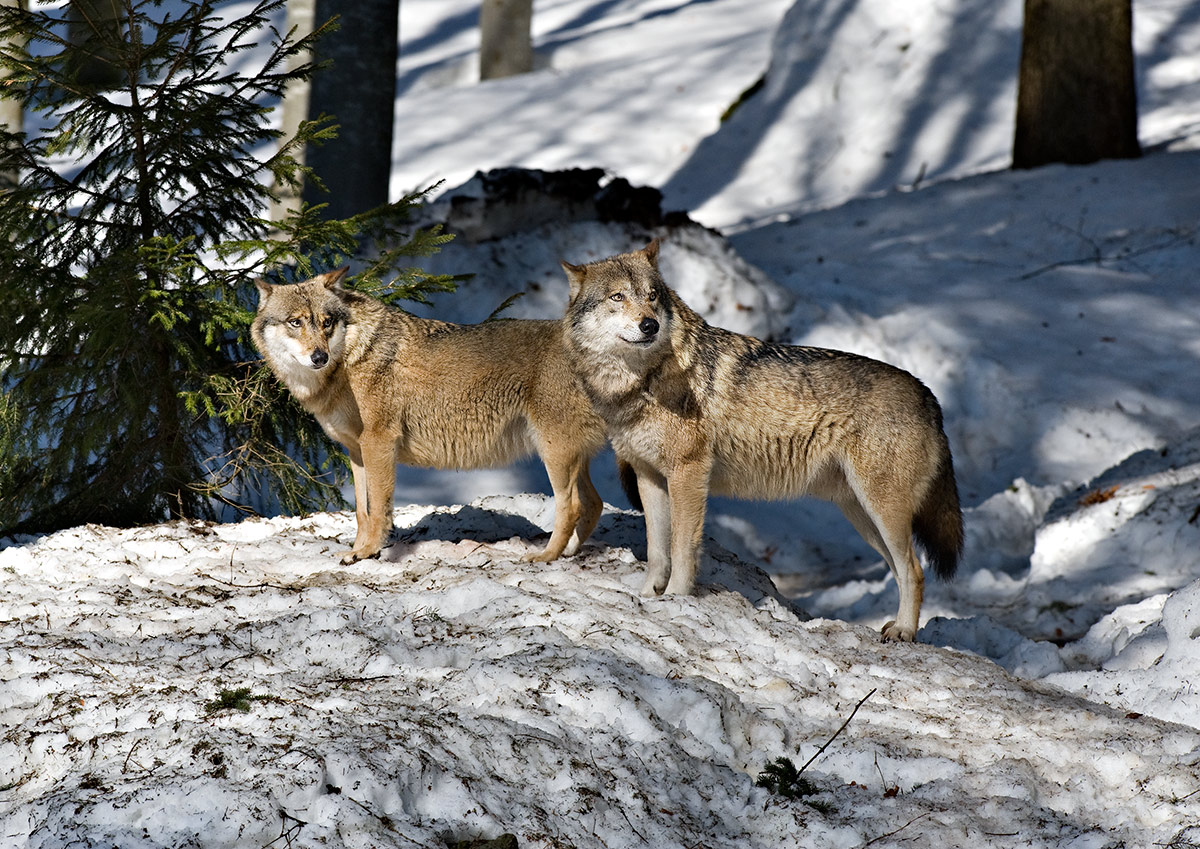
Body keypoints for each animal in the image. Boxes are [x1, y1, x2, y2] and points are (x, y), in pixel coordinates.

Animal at [252, 267, 607, 565]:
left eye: (327, 322)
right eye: (295, 322)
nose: (319, 357)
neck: (349, 360)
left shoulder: (379, 443)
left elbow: (378, 510)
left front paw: (368, 552)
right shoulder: (356, 450)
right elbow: (362, 512)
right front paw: (357, 550)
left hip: (554, 454)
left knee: (573, 506)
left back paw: (546, 556)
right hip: (570, 457)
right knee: (594, 504)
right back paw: (570, 553)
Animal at [560, 240, 962, 641]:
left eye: (652, 296)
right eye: (618, 296)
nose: (650, 325)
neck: (640, 383)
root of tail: (929, 395)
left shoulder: (688, 474)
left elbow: (682, 548)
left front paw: (677, 598)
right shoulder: (648, 476)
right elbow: (657, 550)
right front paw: (647, 598)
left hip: (881, 511)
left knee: (914, 570)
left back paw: (904, 631)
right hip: (863, 515)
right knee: (899, 570)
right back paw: (896, 626)